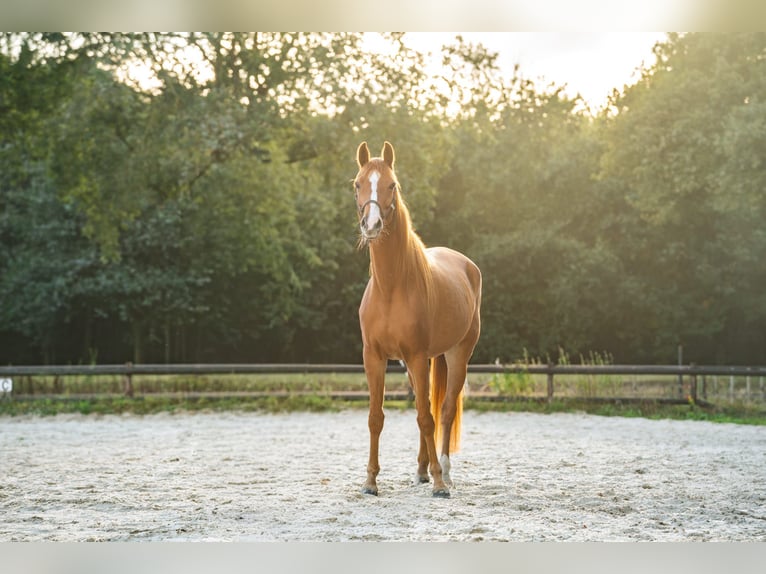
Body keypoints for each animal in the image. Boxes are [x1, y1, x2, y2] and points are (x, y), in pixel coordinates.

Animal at [353, 141, 482, 498]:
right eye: (357, 184)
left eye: (392, 185)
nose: (371, 226)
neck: (391, 286)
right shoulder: (375, 357)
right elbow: (376, 417)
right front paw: (370, 481)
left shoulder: (415, 355)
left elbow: (428, 419)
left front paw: (439, 483)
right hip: (420, 363)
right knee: (427, 408)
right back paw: (422, 470)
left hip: (457, 355)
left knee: (445, 411)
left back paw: (444, 473)